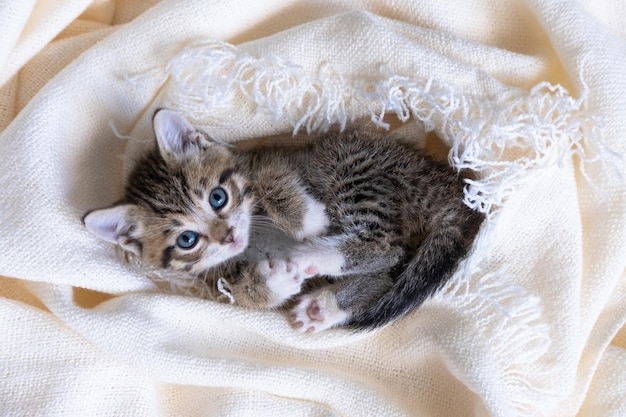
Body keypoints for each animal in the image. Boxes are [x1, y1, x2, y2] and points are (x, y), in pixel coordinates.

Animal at [83, 109, 482, 334]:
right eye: (187, 240)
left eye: (217, 197)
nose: (228, 237)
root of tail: (445, 183)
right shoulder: (219, 273)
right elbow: (243, 296)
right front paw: (272, 283)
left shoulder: (276, 156)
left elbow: (271, 178)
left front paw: (308, 222)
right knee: (387, 269)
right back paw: (323, 307)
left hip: (349, 161)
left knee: (386, 247)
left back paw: (313, 255)